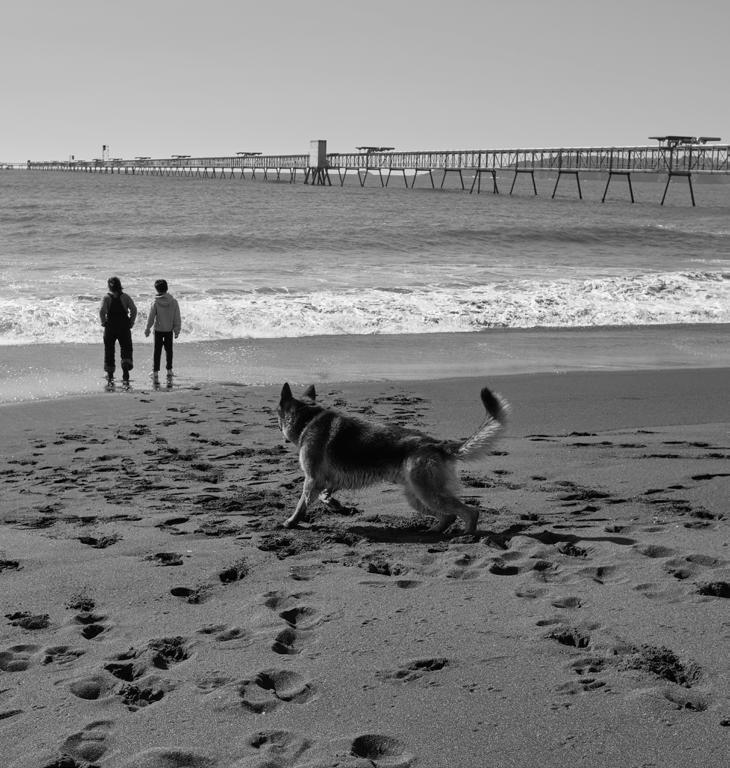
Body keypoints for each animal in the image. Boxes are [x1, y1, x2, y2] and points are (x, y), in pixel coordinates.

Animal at [274, 384, 506, 536]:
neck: (307, 419)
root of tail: (437, 444)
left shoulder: (311, 479)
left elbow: (302, 503)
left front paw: (290, 522)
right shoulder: (327, 480)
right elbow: (325, 495)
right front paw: (335, 505)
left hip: (428, 494)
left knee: (470, 511)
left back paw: (468, 535)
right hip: (417, 497)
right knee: (449, 516)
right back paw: (434, 531)